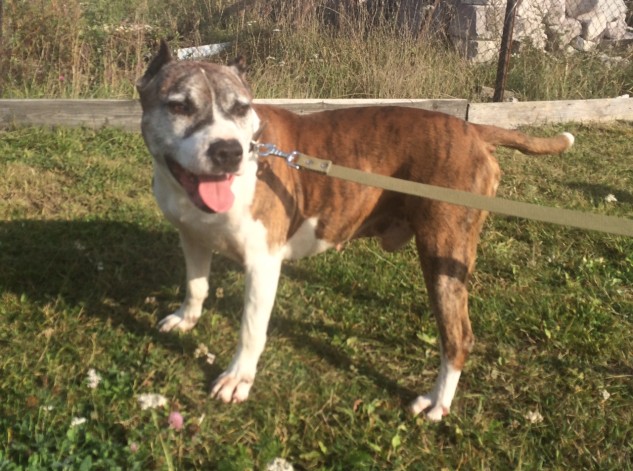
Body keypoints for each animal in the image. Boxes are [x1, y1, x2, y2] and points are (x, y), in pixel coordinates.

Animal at [136, 40, 574, 421]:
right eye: (179, 106)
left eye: (241, 108)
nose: (229, 150)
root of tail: (474, 130)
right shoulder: (191, 236)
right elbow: (196, 284)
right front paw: (186, 318)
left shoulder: (262, 264)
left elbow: (250, 329)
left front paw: (238, 377)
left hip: (442, 247)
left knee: (457, 336)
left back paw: (437, 402)